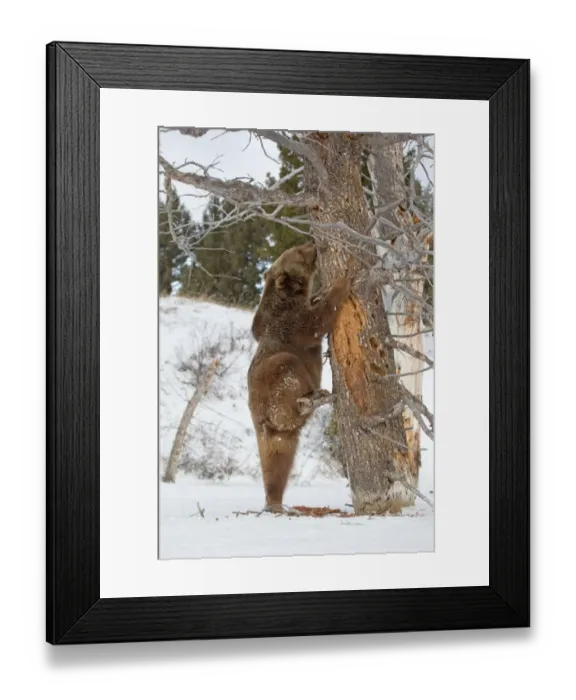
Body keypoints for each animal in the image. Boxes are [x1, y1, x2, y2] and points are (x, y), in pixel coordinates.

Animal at [247, 241, 351, 513]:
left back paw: (275, 501)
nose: (314, 243)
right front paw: (341, 282)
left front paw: (320, 292)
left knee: (277, 462)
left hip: (282, 436)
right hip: (275, 383)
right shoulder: (290, 321)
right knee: (288, 370)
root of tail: (263, 421)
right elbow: (316, 322)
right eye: (299, 251)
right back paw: (314, 398)